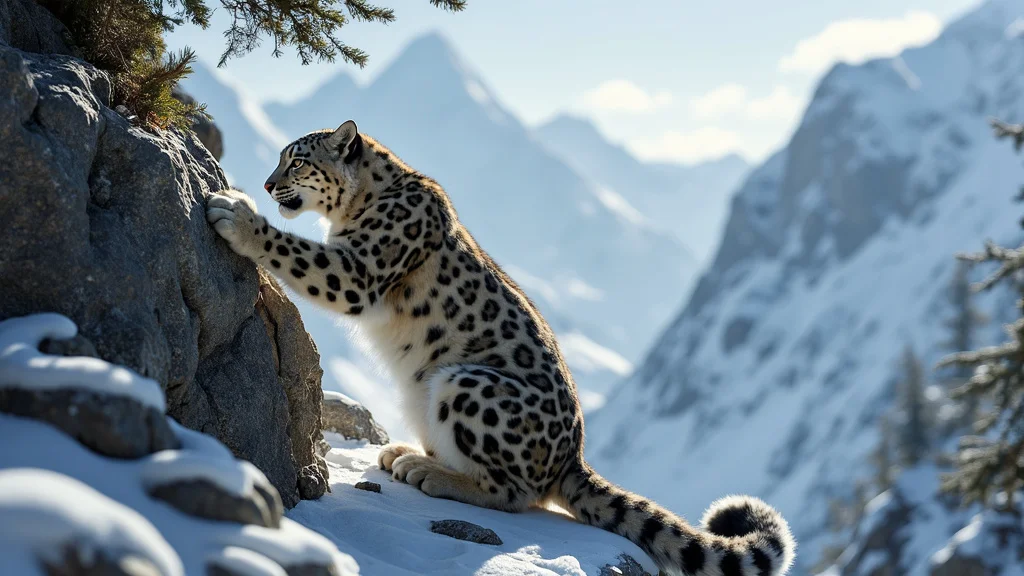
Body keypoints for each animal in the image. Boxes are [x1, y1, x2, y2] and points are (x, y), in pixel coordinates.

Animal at [206, 120, 796, 576]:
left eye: (298, 160)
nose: (267, 182)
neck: (359, 205)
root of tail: (572, 457)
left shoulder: (359, 271)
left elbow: (300, 253)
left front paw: (236, 215)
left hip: (465, 384)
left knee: (512, 493)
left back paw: (430, 472)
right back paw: (406, 452)